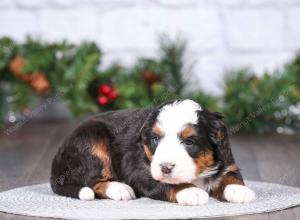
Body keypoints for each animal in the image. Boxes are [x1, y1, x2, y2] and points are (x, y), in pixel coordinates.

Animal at [51, 99, 255, 206]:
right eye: (155, 139)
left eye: (189, 141)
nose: (166, 167)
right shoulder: (140, 169)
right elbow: (165, 182)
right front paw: (190, 191)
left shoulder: (226, 160)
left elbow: (230, 176)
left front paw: (240, 190)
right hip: (93, 140)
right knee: (90, 180)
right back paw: (119, 189)